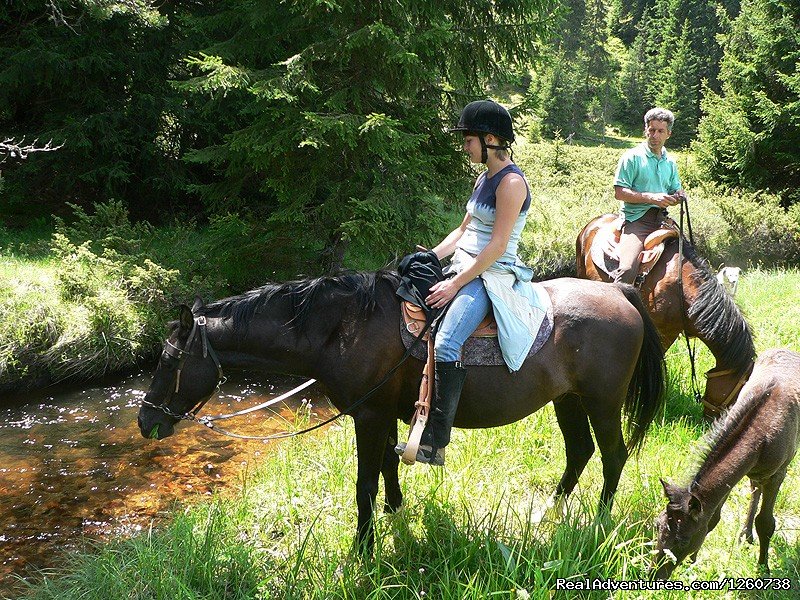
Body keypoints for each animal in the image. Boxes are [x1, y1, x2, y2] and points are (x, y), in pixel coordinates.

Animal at [139, 270, 668, 552]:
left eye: (168, 359)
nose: (145, 421)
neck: (342, 330)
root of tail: (620, 293)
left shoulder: (369, 415)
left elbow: (364, 483)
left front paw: (363, 547)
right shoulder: (385, 414)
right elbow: (389, 468)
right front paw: (395, 513)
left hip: (602, 402)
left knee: (613, 456)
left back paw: (598, 521)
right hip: (567, 400)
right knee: (579, 452)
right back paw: (549, 513)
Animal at [652, 350, 800, 580]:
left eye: (682, 541)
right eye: (657, 526)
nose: (654, 576)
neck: (760, 430)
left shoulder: (777, 475)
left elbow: (766, 523)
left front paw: (763, 569)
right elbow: (713, 518)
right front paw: (694, 562)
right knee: (754, 487)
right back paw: (745, 535)